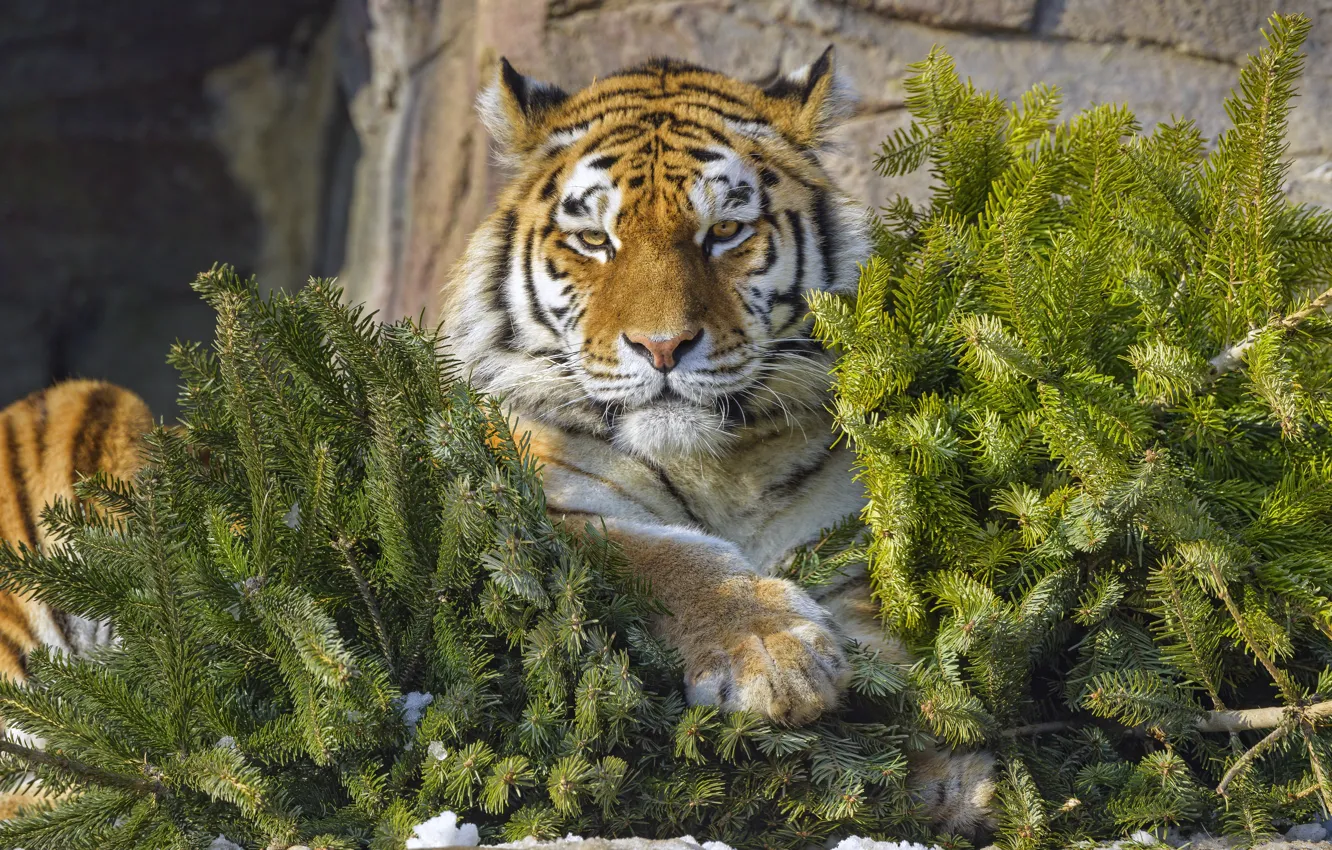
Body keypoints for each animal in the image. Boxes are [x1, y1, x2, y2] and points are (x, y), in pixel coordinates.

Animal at [442, 48, 996, 834]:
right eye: (594, 240)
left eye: (725, 232)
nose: (661, 346)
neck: (714, 465)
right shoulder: (537, 502)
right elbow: (661, 557)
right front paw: (774, 655)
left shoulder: (844, 529)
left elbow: (880, 628)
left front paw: (949, 770)